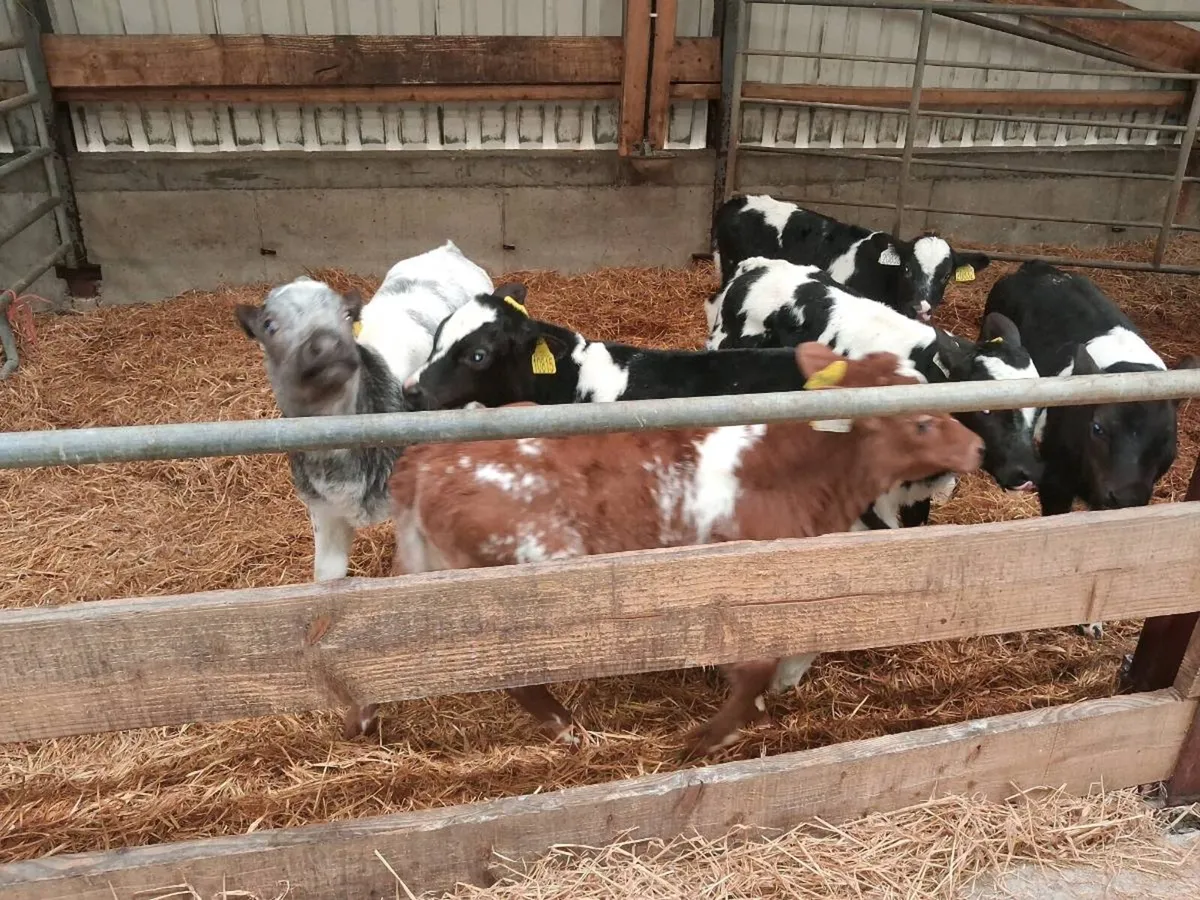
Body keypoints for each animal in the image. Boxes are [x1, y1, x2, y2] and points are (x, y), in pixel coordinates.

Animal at [342, 343, 984, 758]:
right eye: (922, 422)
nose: (978, 446)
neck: (792, 475)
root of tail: (429, 458)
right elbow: (754, 666)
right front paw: (706, 739)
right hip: (525, 578)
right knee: (514, 674)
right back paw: (569, 730)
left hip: (419, 562)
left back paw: (363, 721)